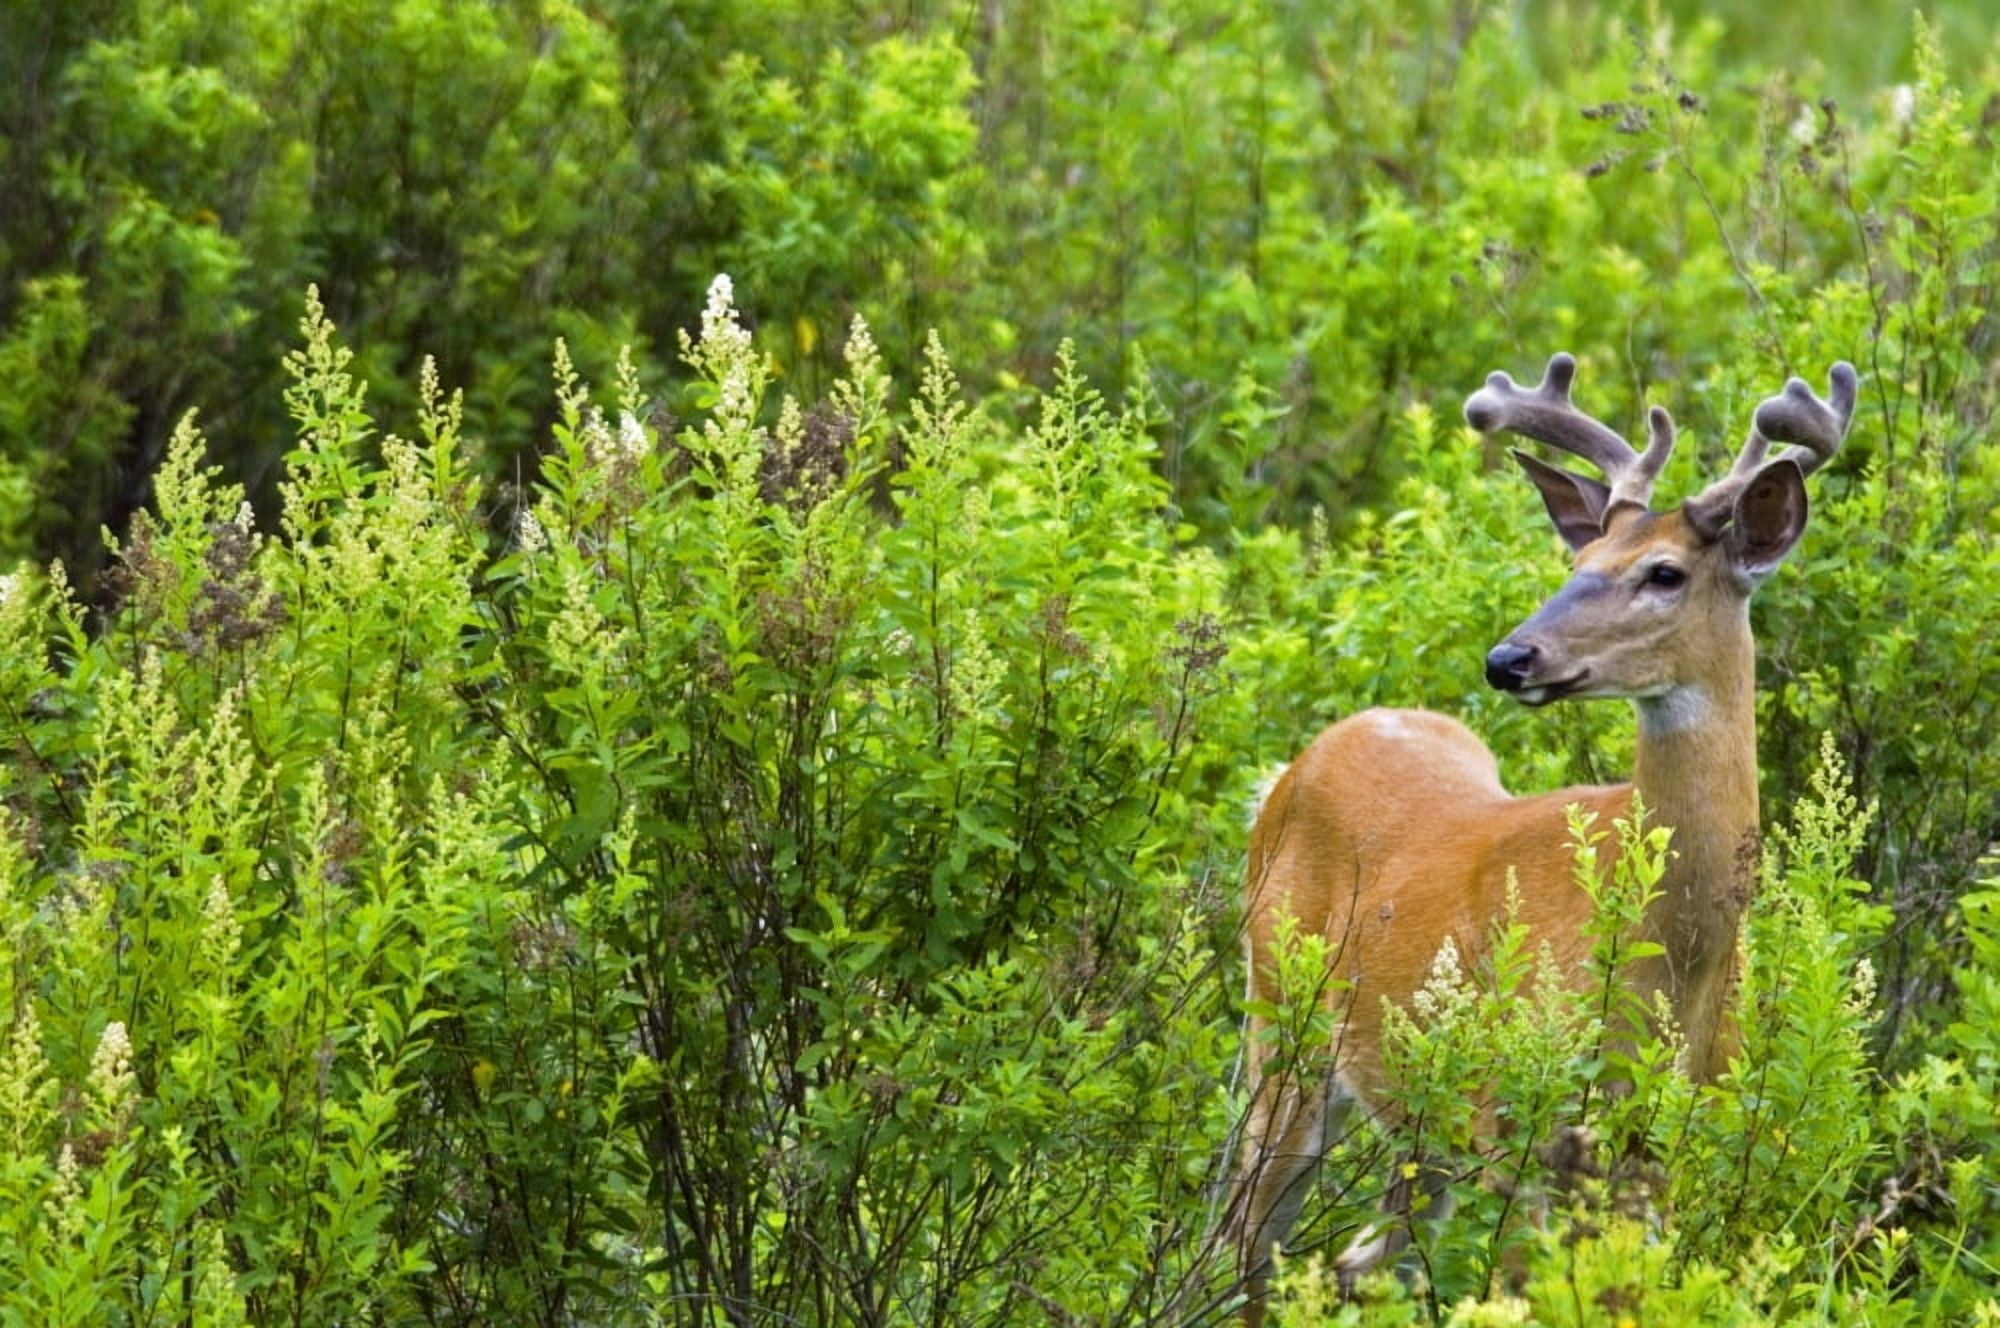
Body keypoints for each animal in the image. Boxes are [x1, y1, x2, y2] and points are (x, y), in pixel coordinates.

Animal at [1223, 352, 1857, 1324]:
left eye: (1664, 572)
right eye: (1582, 558)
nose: (1508, 658)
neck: (1673, 958)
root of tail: (1289, 772)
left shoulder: (1659, 1149)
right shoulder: (1518, 1128)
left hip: (1420, 1123)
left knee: (1356, 1258)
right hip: (1280, 1028)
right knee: (1245, 1236)